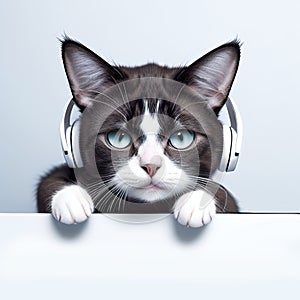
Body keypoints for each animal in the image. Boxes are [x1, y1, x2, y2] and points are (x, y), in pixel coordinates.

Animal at [37, 37, 239, 226]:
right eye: (118, 138)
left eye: (181, 138)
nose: (151, 166)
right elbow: (50, 180)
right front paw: (71, 199)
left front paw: (196, 202)